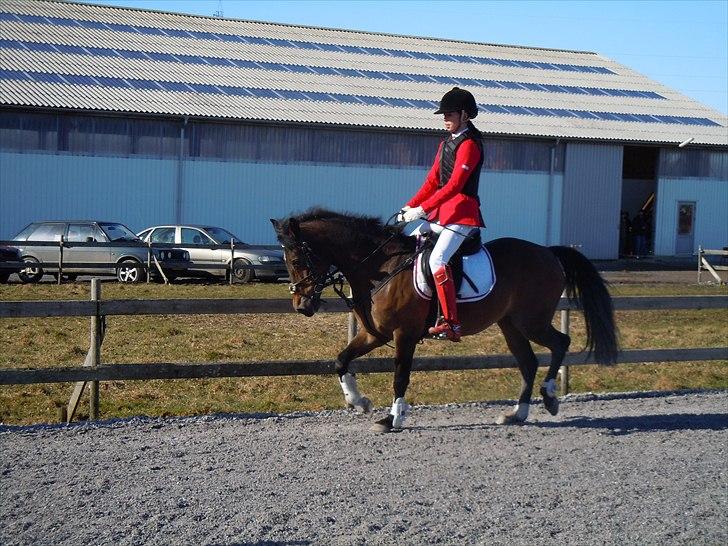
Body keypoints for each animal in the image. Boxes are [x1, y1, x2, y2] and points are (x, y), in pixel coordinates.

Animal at [271, 207, 618, 433]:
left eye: (298, 259)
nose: (301, 306)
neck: (380, 268)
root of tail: (547, 251)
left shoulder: (404, 334)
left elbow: (400, 376)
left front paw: (393, 419)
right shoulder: (375, 334)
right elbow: (341, 360)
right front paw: (359, 402)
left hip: (531, 320)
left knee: (560, 343)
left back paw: (549, 398)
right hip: (510, 324)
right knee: (528, 361)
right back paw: (516, 414)